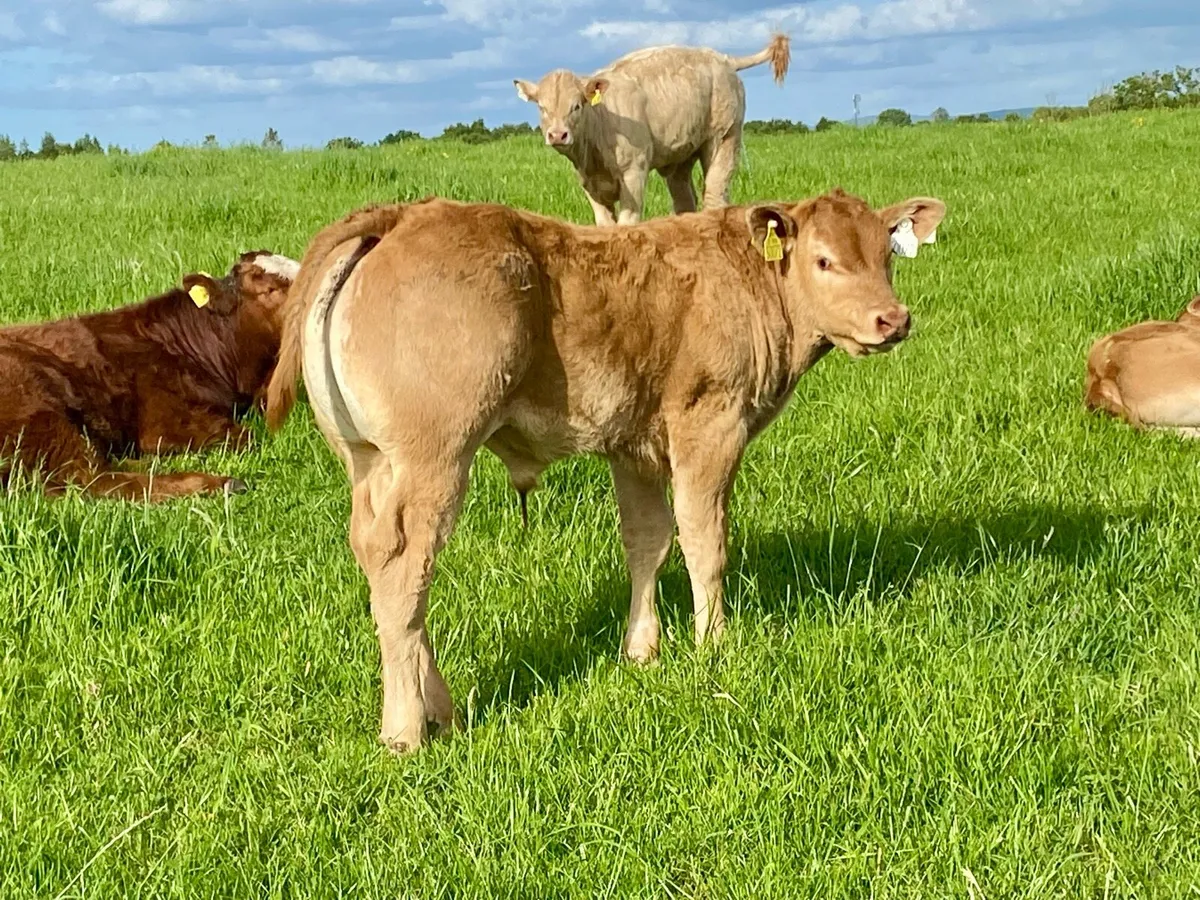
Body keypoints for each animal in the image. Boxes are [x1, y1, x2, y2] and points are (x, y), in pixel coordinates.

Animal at [0, 250, 298, 501]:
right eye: (269, 290)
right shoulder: (166, 424)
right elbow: (245, 436)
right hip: (42, 414)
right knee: (91, 480)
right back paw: (218, 483)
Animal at [264, 188, 947, 752]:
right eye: (825, 260)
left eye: (886, 255)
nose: (893, 320)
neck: (746, 280)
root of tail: (403, 215)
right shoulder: (711, 425)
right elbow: (704, 540)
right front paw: (714, 647)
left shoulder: (634, 445)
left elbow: (647, 541)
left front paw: (642, 649)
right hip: (434, 456)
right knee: (406, 562)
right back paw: (406, 729)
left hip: (371, 460)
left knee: (378, 558)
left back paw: (440, 707)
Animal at [514, 34, 790, 226]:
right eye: (542, 107)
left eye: (577, 106)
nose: (557, 135)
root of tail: (721, 57)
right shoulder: (589, 184)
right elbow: (604, 225)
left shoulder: (633, 173)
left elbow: (627, 222)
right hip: (680, 156)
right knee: (684, 200)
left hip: (724, 138)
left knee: (715, 194)